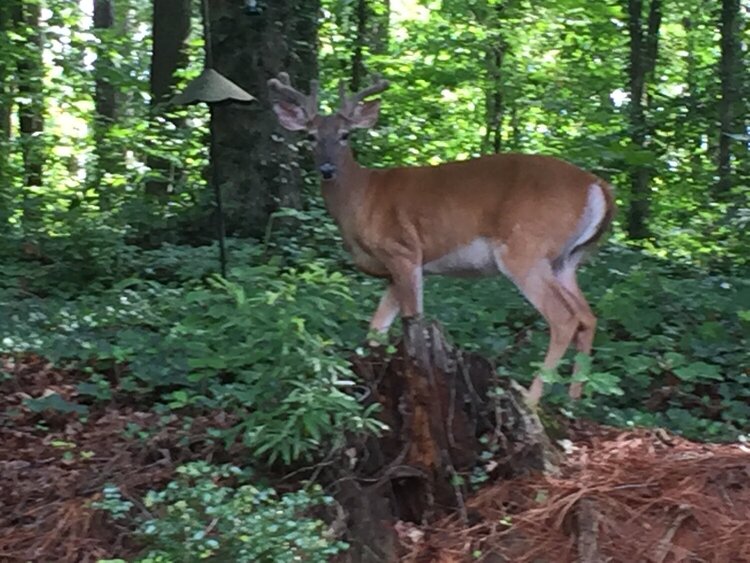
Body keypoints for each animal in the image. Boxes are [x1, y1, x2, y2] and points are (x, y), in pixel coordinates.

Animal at [270, 72, 616, 404]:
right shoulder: (396, 270)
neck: (362, 198)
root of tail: (598, 186)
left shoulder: (403, 250)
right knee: (588, 317)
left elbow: (412, 317)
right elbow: (376, 330)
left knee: (564, 318)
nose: (327, 169)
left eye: (345, 135)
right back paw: (575, 399)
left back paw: (532, 399)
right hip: (566, 260)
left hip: (525, 249)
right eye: (311, 136)